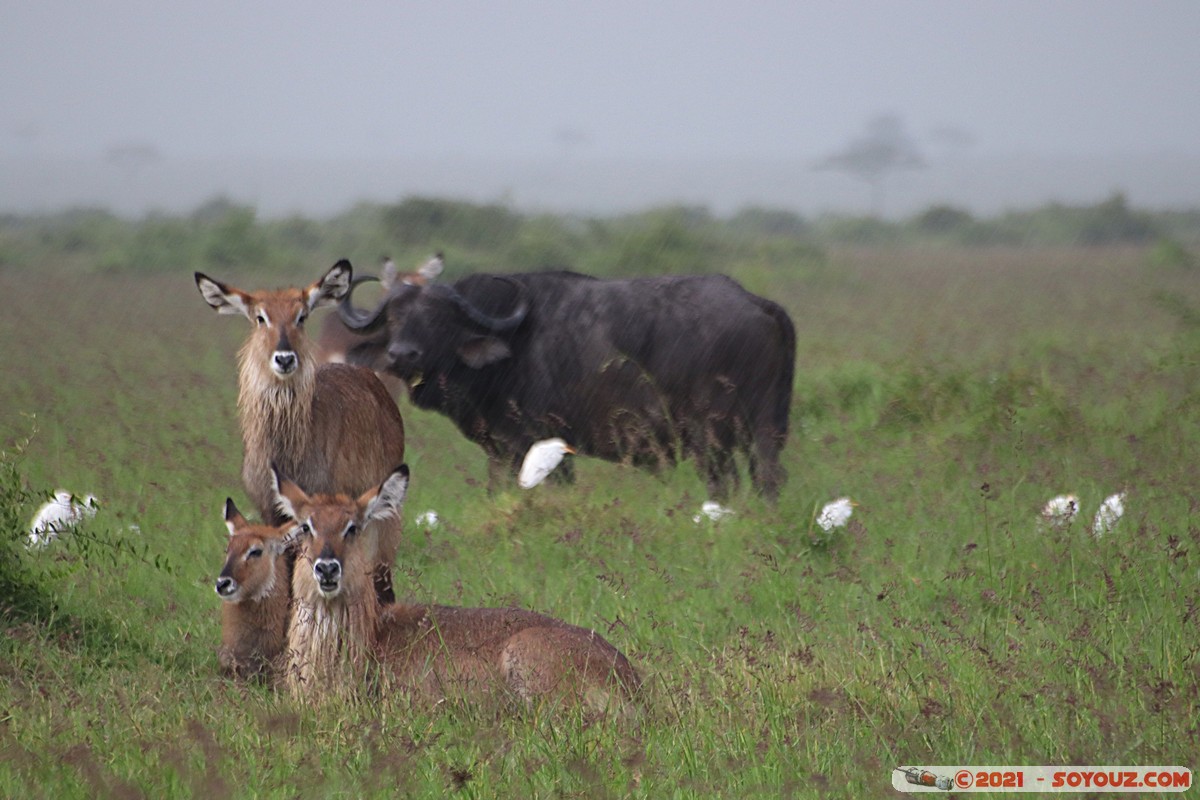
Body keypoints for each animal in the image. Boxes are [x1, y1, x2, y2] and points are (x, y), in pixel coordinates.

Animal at [338, 267, 796, 501]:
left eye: (437, 318)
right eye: (395, 317)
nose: (402, 354)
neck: (512, 341)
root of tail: (756, 303)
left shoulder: (533, 444)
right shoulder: (501, 451)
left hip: (711, 436)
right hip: (763, 432)